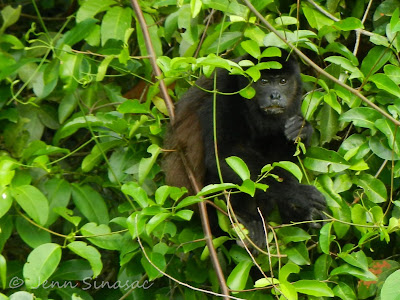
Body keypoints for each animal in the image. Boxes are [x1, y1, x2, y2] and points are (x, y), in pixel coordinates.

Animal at [164, 48, 326, 246]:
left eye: (283, 81)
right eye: (263, 82)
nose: (275, 95)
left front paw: (302, 130)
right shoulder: (224, 91)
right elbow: (224, 154)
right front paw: (299, 194)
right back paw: (246, 217)